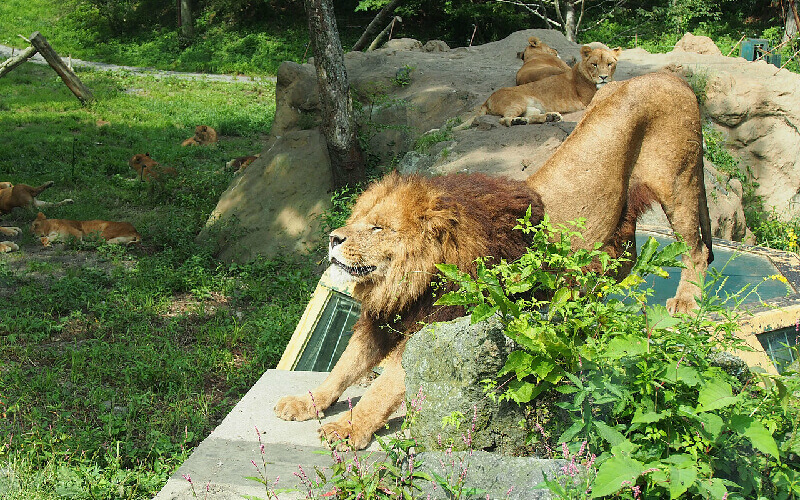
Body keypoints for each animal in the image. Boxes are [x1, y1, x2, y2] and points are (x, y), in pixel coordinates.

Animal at [276, 72, 712, 452]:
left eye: (378, 227)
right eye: (357, 218)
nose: (334, 238)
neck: (410, 280)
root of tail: (671, 76)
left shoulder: (440, 322)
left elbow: (386, 386)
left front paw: (349, 427)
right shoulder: (387, 318)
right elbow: (344, 366)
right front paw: (307, 401)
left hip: (678, 183)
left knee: (698, 249)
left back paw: (685, 302)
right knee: (622, 263)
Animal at [460, 45, 620, 128]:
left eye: (610, 64)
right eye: (594, 64)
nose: (603, 77)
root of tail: (488, 99)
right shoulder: (588, 100)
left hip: (532, 107)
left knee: (531, 117)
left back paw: (550, 117)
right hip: (517, 102)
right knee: (504, 120)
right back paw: (518, 121)